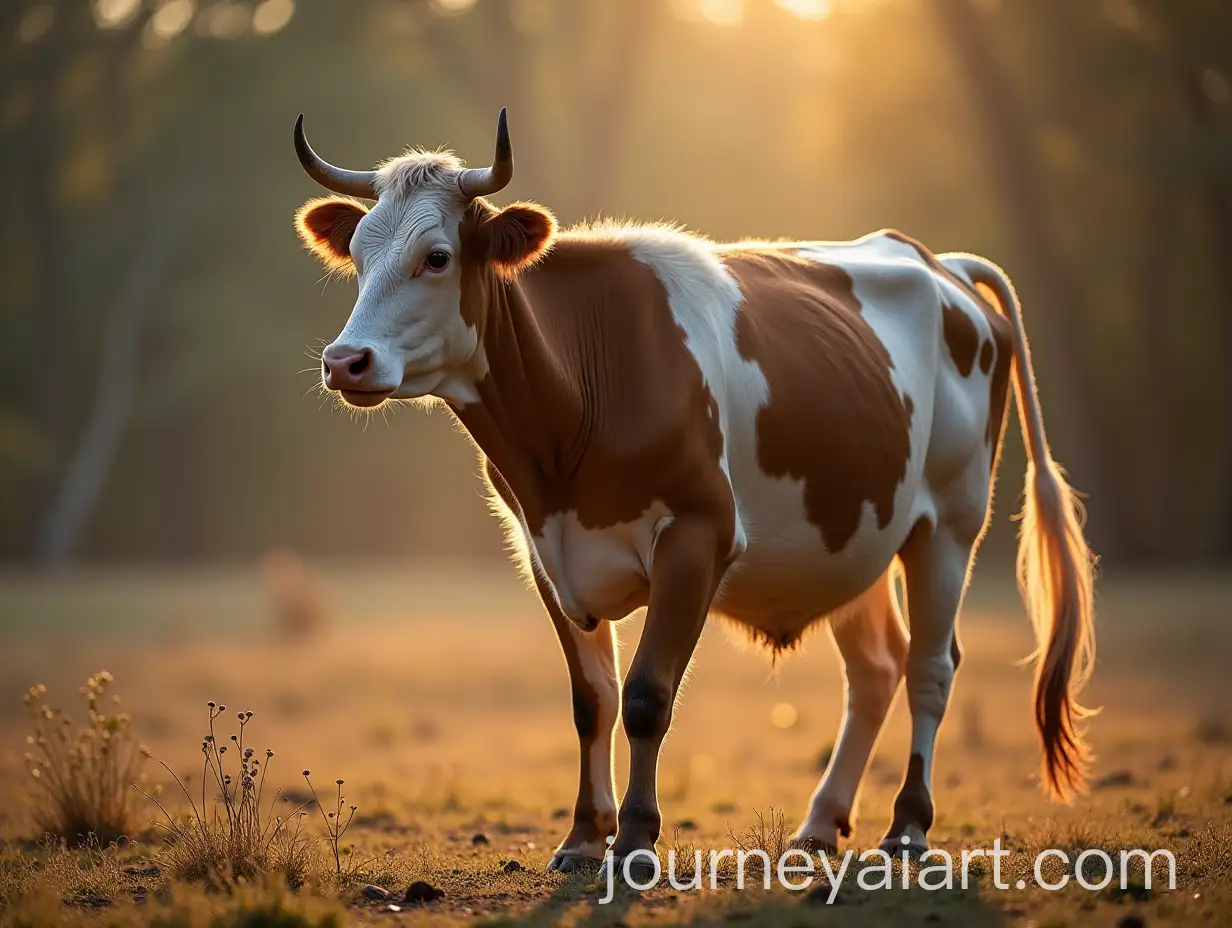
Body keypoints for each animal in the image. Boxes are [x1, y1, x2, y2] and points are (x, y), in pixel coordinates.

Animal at [291, 109, 1096, 873]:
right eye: (357, 255)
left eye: (438, 256)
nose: (345, 360)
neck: (566, 432)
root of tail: (933, 260)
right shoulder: (544, 549)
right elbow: (592, 701)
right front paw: (583, 837)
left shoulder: (697, 535)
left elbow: (648, 696)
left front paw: (636, 838)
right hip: (853, 534)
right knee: (876, 669)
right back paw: (819, 824)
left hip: (951, 523)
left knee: (932, 665)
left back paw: (907, 826)